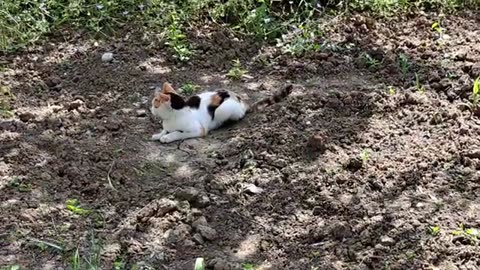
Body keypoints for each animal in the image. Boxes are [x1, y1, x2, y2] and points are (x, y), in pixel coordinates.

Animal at [150, 81, 292, 143]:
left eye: (155, 103)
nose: (150, 109)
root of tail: (241, 101)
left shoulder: (198, 130)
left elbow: (178, 133)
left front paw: (167, 137)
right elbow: (164, 130)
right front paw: (158, 134)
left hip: (222, 110)